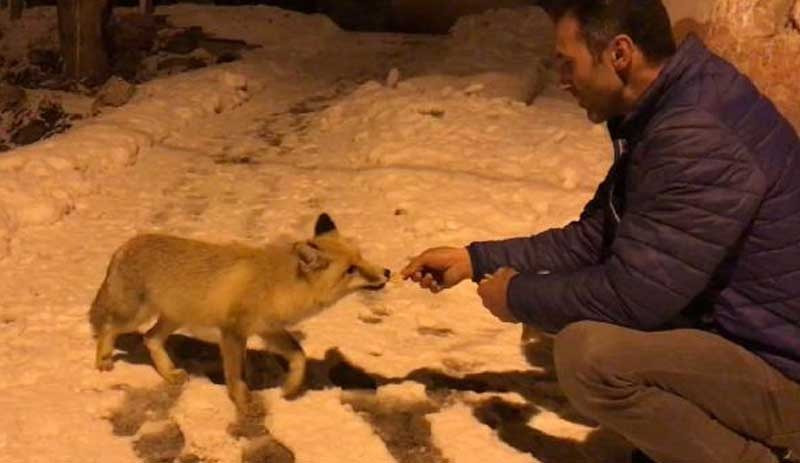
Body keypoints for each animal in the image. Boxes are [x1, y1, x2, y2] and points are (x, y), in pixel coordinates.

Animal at [90, 212, 390, 412]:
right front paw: (244, 402)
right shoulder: (233, 332)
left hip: (173, 318)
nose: (387, 272)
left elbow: (299, 357)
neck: (279, 286)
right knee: (108, 328)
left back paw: (169, 373)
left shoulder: (269, 329)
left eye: (361, 258)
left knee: (150, 339)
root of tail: (125, 245)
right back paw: (103, 360)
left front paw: (290, 388)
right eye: (350, 270)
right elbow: (236, 375)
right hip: (135, 316)